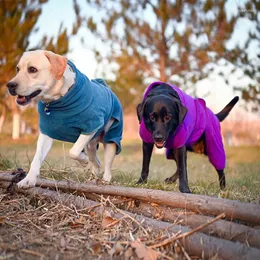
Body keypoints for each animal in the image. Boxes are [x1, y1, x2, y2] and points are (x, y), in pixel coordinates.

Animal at [6, 49, 123, 188]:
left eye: (32, 69)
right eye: (18, 69)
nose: (9, 85)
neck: (57, 100)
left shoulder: (92, 126)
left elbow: (73, 151)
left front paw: (83, 160)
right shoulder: (46, 133)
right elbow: (36, 159)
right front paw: (28, 180)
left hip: (111, 140)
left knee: (107, 166)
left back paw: (104, 180)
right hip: (91, 145)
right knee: (96, 162)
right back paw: (93, 177)